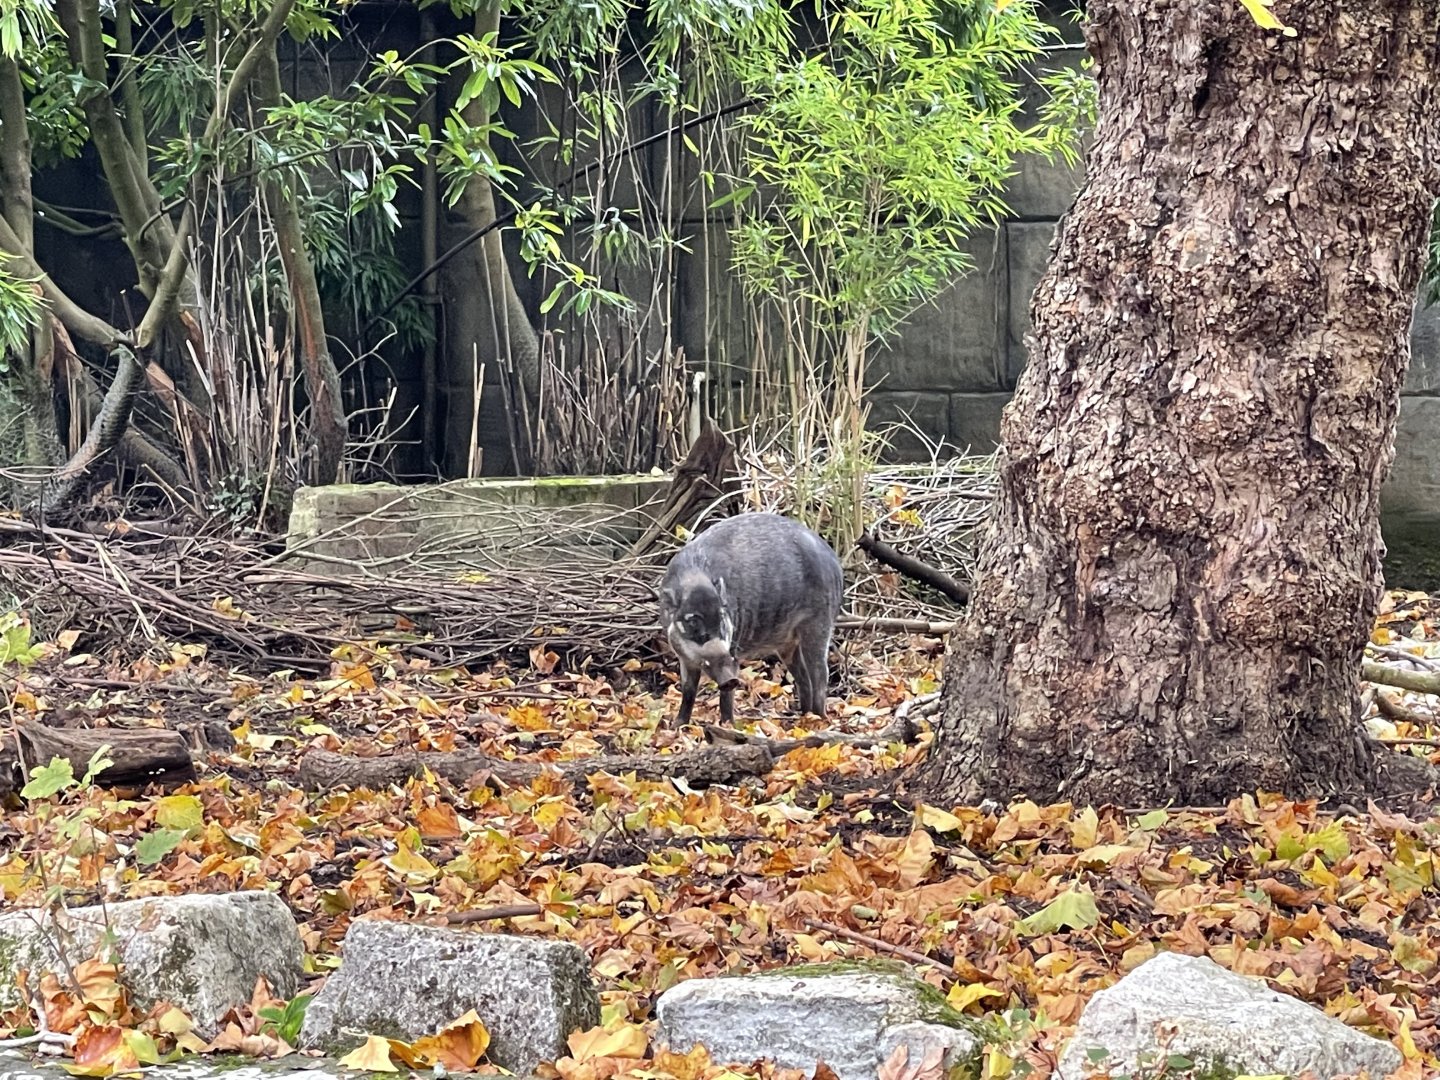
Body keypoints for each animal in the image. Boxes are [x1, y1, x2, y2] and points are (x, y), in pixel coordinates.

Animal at [657, 512, 844, 726]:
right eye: (693, 621)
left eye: (722, 618)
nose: (730, 679)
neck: (695, 578)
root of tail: (835, 561)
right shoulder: (685, 658)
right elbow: (688, 690)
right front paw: (678, 725)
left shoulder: (734, 649)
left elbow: (726, 696)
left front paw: (728, 725)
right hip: (788, 643)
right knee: (803, 676)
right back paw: (804, 716)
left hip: (819, 622)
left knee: (820, 673)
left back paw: (819, 719)